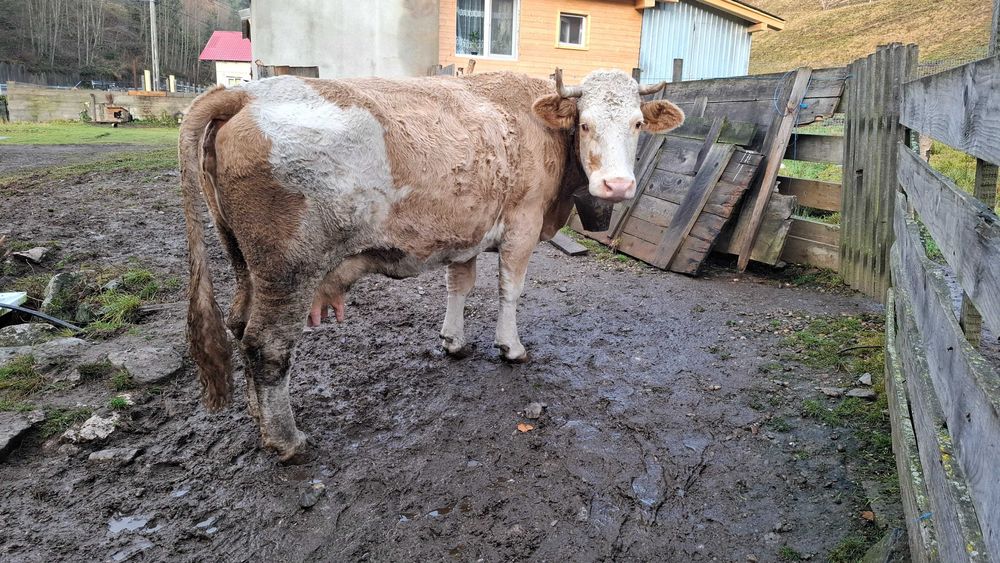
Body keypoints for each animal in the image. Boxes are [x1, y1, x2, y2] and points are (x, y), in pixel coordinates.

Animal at [179, 68, 684, 461]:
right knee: (266, 346)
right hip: (289, 269)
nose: (617, 185)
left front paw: (453, 340)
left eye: (638, 123)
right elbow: (510, 289)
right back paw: (287, 441)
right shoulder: (522, 224)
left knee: (238, 326)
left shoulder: (466, 232)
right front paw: (510, 347)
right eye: (584, 125)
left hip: (245, 264)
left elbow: (459, 285)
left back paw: (258, 420)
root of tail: (247, 92)